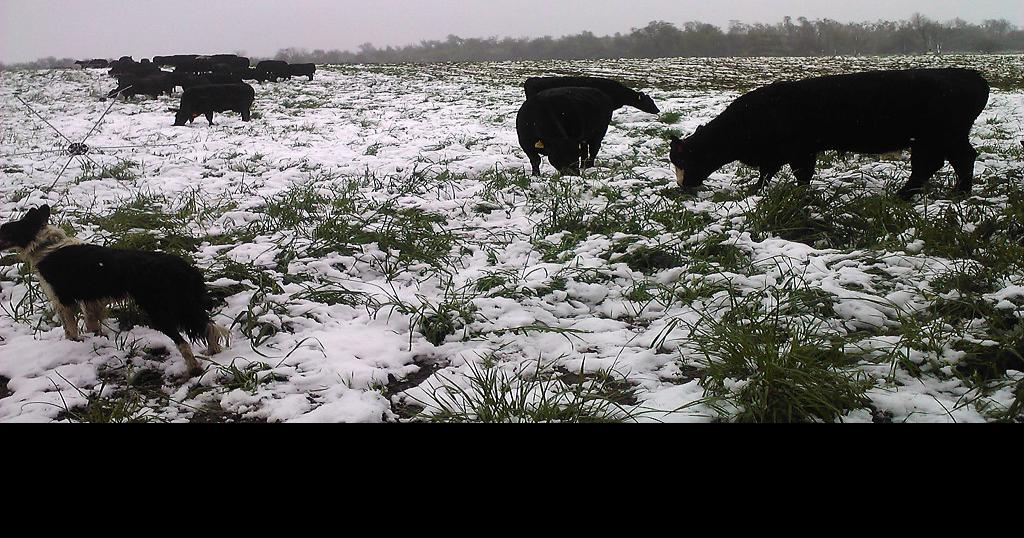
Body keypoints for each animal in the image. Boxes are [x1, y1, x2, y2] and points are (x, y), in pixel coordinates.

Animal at [0, 204, 228, 373]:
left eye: (5, 230)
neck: (45, 246)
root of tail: (183, 267)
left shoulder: (63, 300)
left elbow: (70, 328)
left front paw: (73, 344)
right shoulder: (90, 300)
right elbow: (92, 323)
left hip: (160, 310)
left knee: (184, 341)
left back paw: (193, 369)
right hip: (184, 305)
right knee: (209, 326)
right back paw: (213, 353)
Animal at [667, 68, 987, 198]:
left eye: (682, 160)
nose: (683, 186)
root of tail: (970, 75)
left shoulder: (800, 150)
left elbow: (800, 175)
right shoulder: (777, 155)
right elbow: (766, 174)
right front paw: (755, 190)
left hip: (941, 136)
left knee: (943, 162)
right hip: (940, 138)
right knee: (948, 161)